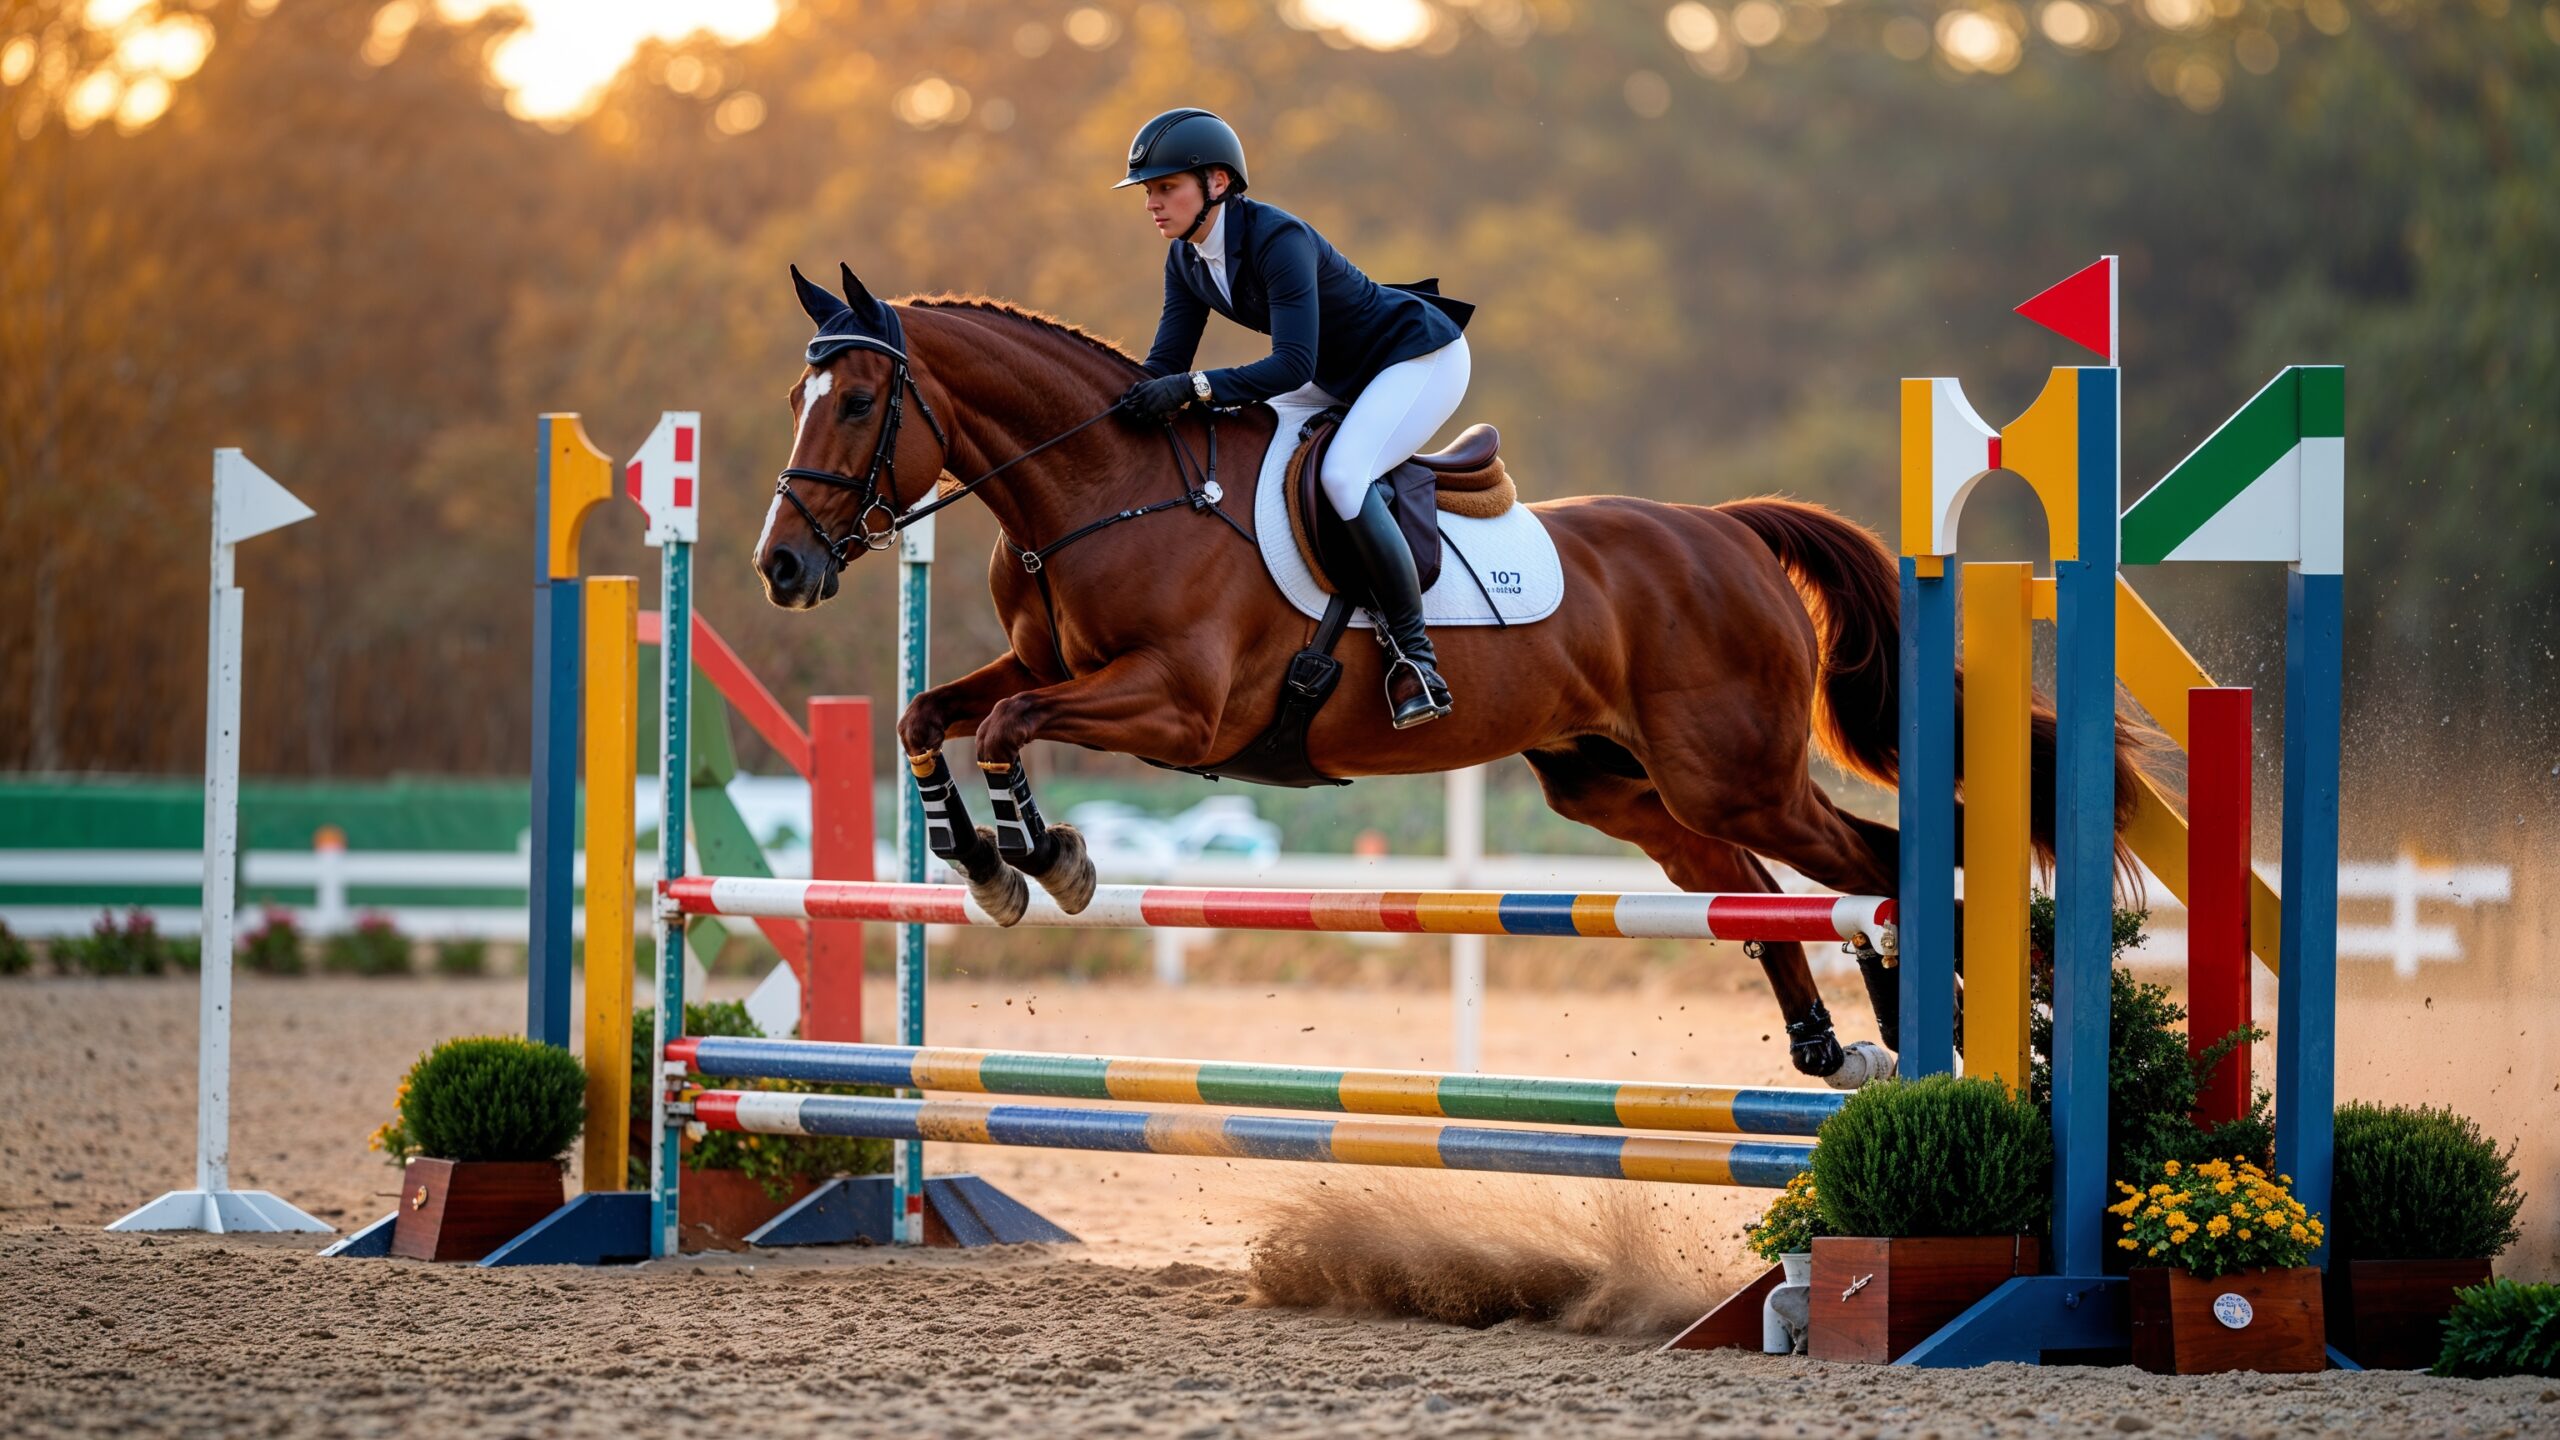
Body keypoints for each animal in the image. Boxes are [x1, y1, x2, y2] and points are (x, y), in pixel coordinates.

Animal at [754, 265, 2140, 1082]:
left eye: (860, 400)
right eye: (796, 397)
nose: (780, 567)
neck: (1105, 489)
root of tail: (1727, 530)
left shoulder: (1181, 710)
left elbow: (1007, 728)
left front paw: (1045, 857)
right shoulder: (1049, 665)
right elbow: (932, 713)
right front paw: (978, 862)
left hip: (1735, 770)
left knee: (1876, 861)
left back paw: (1977, 1025)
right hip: (1622, 786)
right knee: (1752, 891)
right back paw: (1831, 1047)